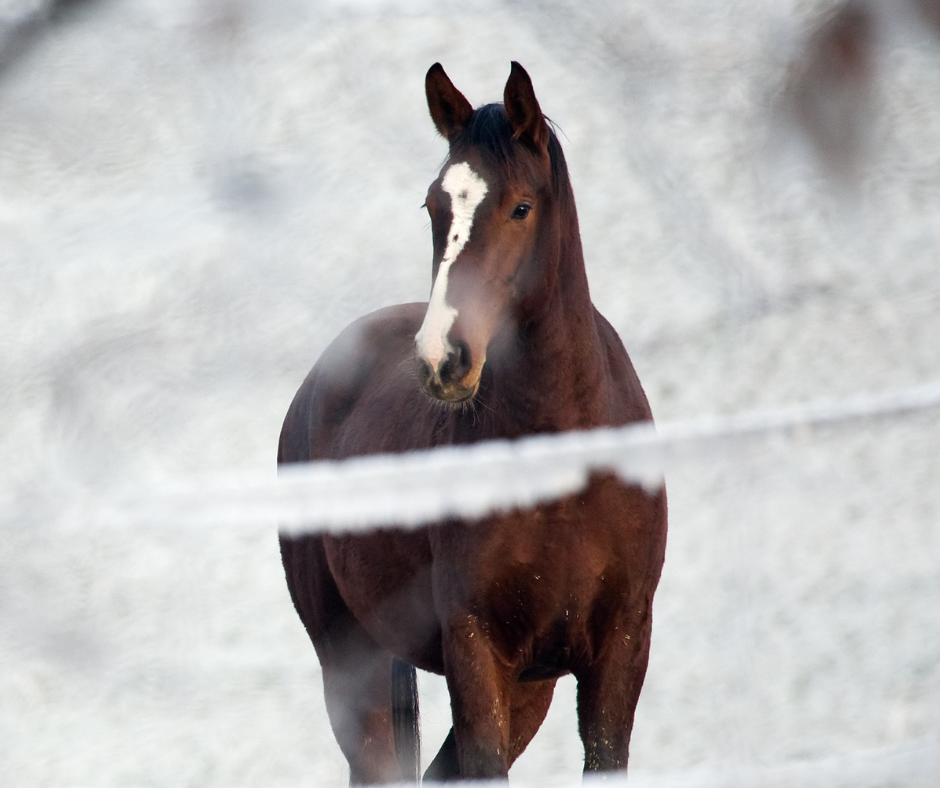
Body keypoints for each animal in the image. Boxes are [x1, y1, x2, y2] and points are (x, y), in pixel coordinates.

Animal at [278, 62, 667, 784]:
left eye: (521, 206)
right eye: (434, 207)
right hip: (352, 665)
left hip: (529, 687)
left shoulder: (617, 650)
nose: (443, 357)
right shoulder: (477, 649)